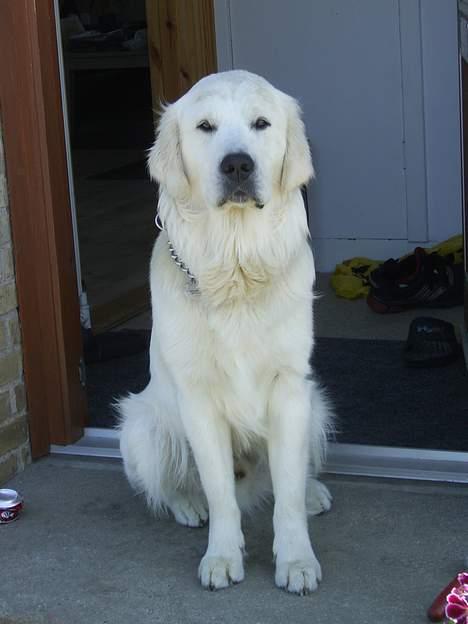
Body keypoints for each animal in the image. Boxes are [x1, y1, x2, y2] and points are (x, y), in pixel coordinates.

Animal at [119, 69, 332, 596]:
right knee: (174, 484)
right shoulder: (198, 400)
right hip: (140, 428)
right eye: (205, 126)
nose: (237, 164)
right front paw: (221, 557)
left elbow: (288, 492)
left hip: (315, 401)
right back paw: (186, 504)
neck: (236, 266)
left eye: (261, 123)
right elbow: (219, 492)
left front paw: (296, 560)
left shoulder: (291, 389)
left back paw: (313, 492)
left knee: (287, 478)